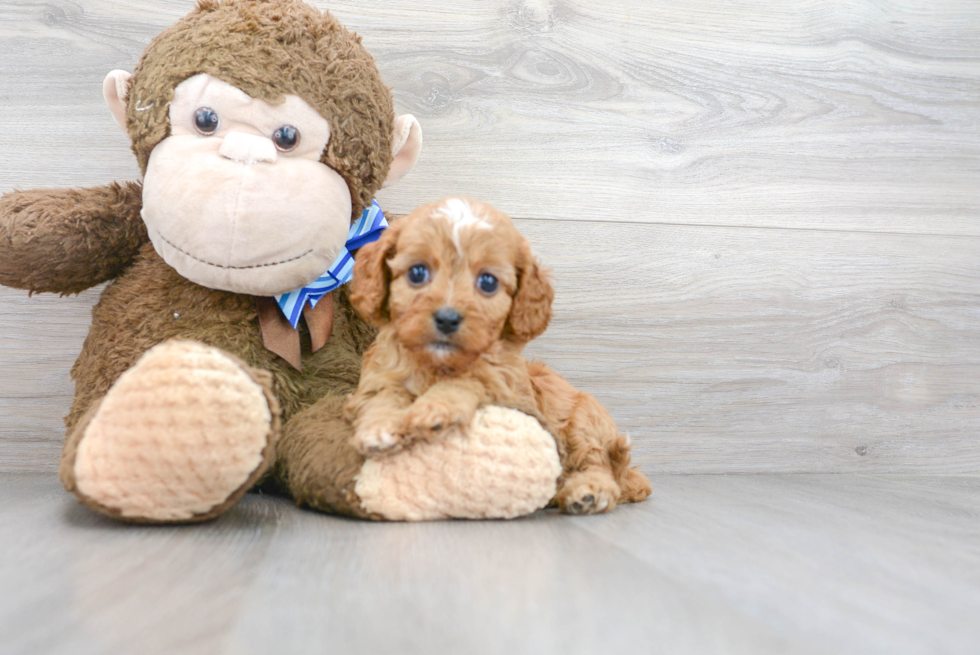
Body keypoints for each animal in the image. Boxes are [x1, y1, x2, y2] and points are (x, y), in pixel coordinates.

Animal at [344, 197, 652, 516]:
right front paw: (380, 427)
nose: (447, 318)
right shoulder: (379, 376)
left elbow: (473, 380)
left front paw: (436, 408)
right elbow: (384, 396)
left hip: (584, 423)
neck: (439, 364)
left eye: (488, 282)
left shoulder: (513, 396)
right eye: (417, 273)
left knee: (598, 464)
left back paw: (589, 492)